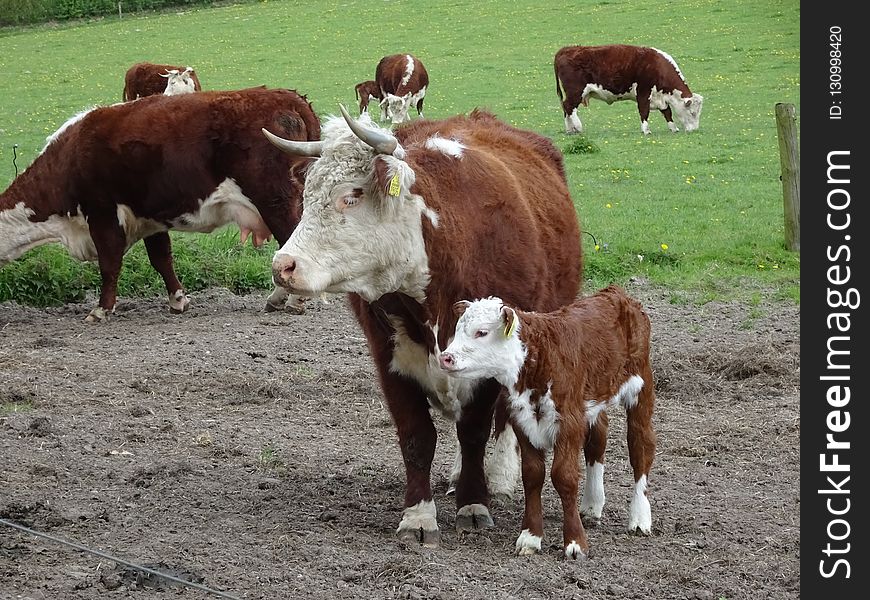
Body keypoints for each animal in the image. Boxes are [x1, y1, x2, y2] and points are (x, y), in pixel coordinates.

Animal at [0, 86, 320, 322]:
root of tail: (286, 96)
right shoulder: (150, 218)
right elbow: (161, 259)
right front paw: (178, 300)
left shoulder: (103, 213)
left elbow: (109, 264)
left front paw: (101, 309)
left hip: (275, 201)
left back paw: (288, 300)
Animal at [262, 105, 584, 548]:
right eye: (307, 195)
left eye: (351, 195)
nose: (283, 266)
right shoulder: (390, 356)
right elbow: (417, 437)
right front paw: (418, 516)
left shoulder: (487, 368)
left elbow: (475, 430)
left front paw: (474, 504)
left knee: (504, 419)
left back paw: (500, 477)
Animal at [440, 284, 656, 560]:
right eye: (457, 329)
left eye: (482, 332)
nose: (446, 357)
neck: (538, 358)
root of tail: (616, 293)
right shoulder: (523, 420)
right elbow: (532, 475)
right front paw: (530, 537)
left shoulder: (569, 422)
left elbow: (564, 476)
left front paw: (575, 543)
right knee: (598, 438)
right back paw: (592, 504)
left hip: (642, 387)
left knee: (641, 447)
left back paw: (639, 518)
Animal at [556, 44, 704, 135]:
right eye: (692, 113)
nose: (694, 130)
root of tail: (566, 49)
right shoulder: (643, 92)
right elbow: (644, 111)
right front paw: (646, 130)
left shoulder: (660, 97)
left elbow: (667, 112)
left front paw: (673, 128)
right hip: (576, 91)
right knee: (569, 106)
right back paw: (578, 127)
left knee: (566, 107)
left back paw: (570, 130)